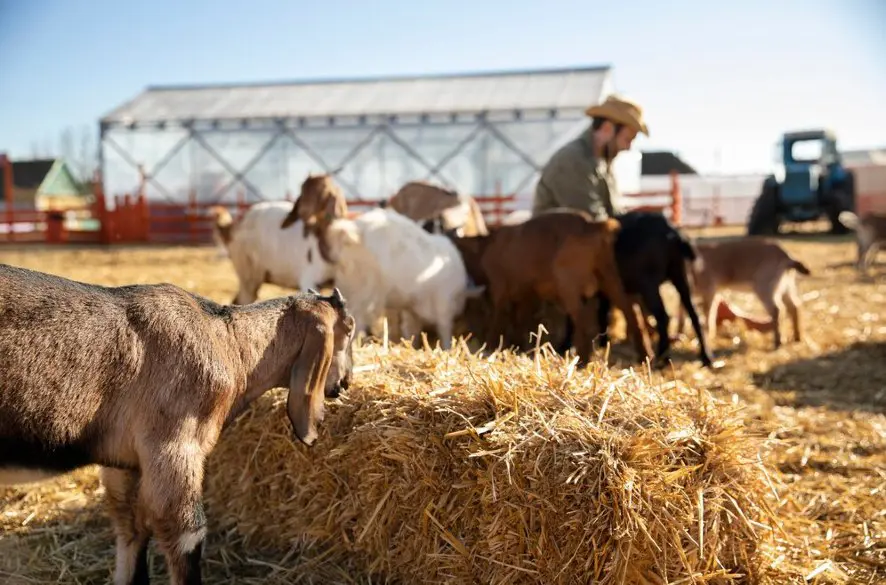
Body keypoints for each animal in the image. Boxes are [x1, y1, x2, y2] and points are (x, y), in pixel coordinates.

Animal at [0, 264, 354, 584]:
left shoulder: (124, 462)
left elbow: (131, 528)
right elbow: (187, 536)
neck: (228, 343)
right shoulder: (173, 445)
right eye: (348, 330)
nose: (347, 381)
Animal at [318, 208, 486, 350]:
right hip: (367, 291)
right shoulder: (444, 304)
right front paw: (447, 349)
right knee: (357, 319)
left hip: (351, 286)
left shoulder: (412, 310)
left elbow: (411, 330)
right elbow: (444, 330)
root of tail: (353, 231)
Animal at [450, 209, 652, 364]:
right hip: (611, 278)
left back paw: (582, 360)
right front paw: (519, 347)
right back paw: (645, 356)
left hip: (569, 286)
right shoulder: (528, 294)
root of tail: (591, 225)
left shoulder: (500, 289)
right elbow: (520, 319)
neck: (487, 246)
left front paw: (492, 347)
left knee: (583, 322)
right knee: (632, 314)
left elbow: (499, 318)